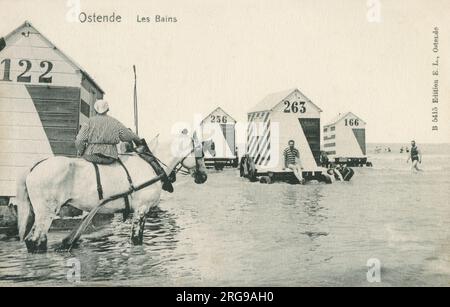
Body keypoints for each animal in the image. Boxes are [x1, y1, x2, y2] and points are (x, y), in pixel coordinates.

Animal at [16, 134, 214, 254]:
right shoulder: (141, 210)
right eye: (201, 152)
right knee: (35, 241)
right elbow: (136, 239)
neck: (150, 164)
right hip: (46, 212)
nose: (204, 176)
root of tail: (35, 166)